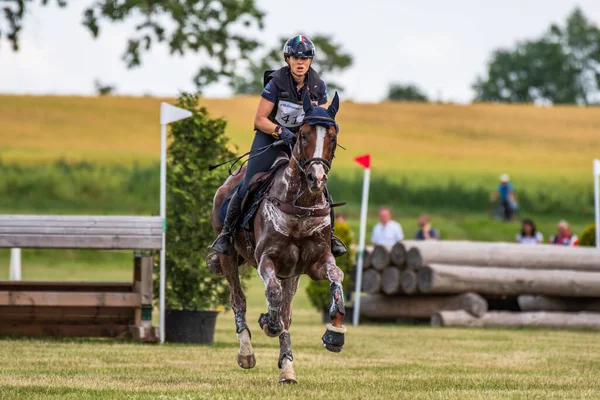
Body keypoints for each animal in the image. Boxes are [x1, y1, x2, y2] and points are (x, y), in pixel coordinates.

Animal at [209, 92, 346, 382]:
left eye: (333, 137)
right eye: (303, 135)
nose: (316, 178)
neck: (301, 205)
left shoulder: (315, 263)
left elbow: (336, 278)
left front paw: (335, 334)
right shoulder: (267, 260)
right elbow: (271, 294)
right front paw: (267, 323)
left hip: (292, 274)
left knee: (287, 312)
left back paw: (287, 369)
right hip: (228, 256)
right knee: (238, 300)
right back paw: (246, 353)